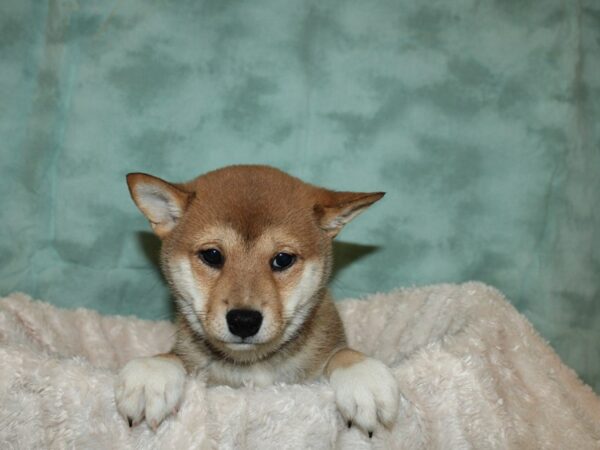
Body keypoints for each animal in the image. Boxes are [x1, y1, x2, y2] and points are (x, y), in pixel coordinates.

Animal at [116, 164, 398, 436]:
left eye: (283, 259)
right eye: (212, 255)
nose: (244, 321)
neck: (254, 367)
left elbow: (342, 354)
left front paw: (363, 376)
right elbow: (172, 356)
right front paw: (152, 374)